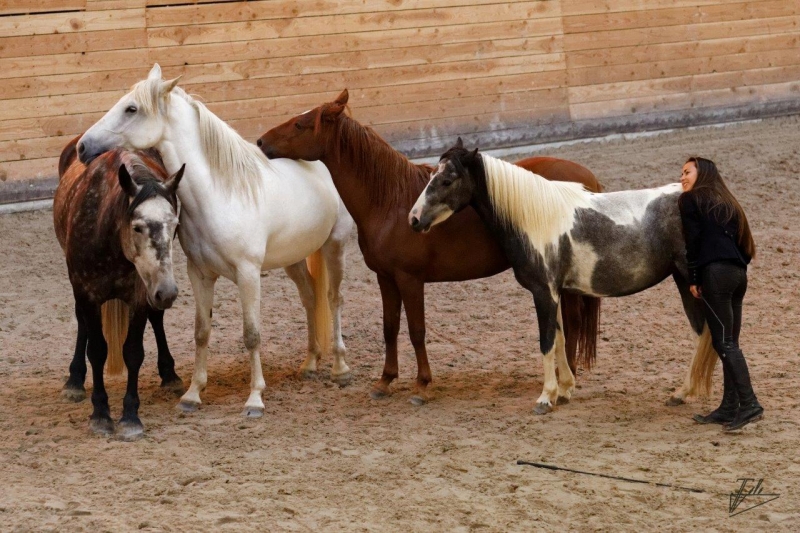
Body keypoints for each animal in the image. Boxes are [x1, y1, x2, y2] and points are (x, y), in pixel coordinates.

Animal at [55, 136, 184, 436]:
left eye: (174, 224)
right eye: (137, 227)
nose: (167, 292)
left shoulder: (141, 295)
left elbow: (133, 352)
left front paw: (130, 417)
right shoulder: (87, 294)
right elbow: (97, 350)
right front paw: (101, 414)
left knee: (156, 319)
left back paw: (169, 374)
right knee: (81, 323)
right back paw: (74, 381)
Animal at [78, 64, 354, 418]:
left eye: (132, 109)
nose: (83, 146)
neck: (220, 195)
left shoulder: (248, 275)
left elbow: (252, 334)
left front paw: (255, 398)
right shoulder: (200, 274)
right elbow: (201, 331)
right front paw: (193, 394)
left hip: (335, 247)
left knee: (334, 299)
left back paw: (340, 369)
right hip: (294, 258)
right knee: (310, 298)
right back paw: (309, 364)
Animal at [260, 89, 604, 406]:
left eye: (301, 124)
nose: (262, 142)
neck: (390, 201)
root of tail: (587, 179)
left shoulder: (410, 280)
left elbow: (416, 330)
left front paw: (422, 385)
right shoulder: (386, 278)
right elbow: (390, 328)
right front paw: (385, 380)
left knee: (572, 323)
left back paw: (565, 381)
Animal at [410, 139, 716, 414]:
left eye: (447, 180)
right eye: (431, 175)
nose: (414, 219)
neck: (534, 218)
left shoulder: (543, 292)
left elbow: (546, 342)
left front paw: (546, 398)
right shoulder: (553, 292)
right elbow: (558, 338)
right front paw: (565, 389)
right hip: (684, 282)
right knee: (702, 332)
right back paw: (682, 393)